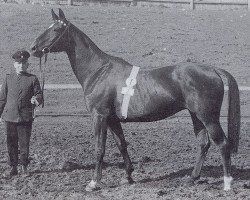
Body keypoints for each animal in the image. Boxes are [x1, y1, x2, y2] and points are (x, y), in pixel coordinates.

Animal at [29, 8, 240, 191]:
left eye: (56, 29)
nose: (33, 48)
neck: (98, 71)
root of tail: (213, 70)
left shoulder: (99, 116)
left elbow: (99, 149)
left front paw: (94, 182)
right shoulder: (112, 119)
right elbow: (121, 144)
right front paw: (128, 176)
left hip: (208, 117)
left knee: (222, 144)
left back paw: (227, 182)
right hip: (196, 116)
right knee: (204, 144)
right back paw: (192, 178)